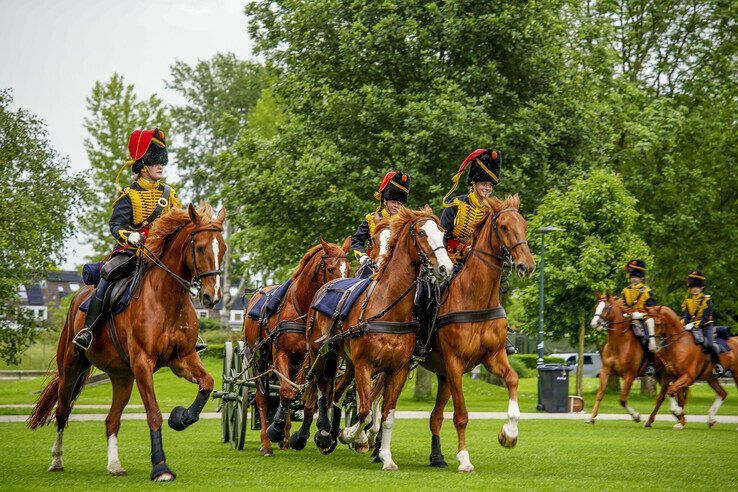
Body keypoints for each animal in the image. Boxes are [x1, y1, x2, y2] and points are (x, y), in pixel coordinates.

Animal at [28, 203, 227, 480]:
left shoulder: (182, 359)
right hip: (71, 369)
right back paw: (57, 460)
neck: (167, 299)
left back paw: (114, 465)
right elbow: (154, 413)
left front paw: (181, 417)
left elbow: (207, 384)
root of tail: (79, 296)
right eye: (199, 247)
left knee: (111, 419)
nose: (212, 296)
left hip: (122, 377)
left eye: (224, 248)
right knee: (63, 410)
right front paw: (161, 467)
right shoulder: (143, 363)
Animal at [242, 236, 350, 456]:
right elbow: (285, 391)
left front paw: (302, 435)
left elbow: (310, 399)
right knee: (262, 398)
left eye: (349, 268)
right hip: (259, 361)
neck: (302, 307)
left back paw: (284, 438)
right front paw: (275, 428)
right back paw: (266, 442)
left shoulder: (315, 359)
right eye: (331, 269)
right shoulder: (281, 354)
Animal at [296, 206, 452, 470]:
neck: (388, 306)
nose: (446, 268)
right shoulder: (364, 365)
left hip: (345, 361)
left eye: (442, 233)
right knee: (320, 386)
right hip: (321, 353)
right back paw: (323, 432)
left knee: (335, 392)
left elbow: (387, 415)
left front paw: (386, 457)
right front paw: (352, 436)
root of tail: (328, 284)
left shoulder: (397, 369)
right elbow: (364, 411)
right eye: (421, 233)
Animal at [420, 195, 536, 472]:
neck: (475, 297)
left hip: (443, 376)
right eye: (503, 227)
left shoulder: (493, 357)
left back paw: (437, 456)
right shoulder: (455, 364)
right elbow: (461, 415)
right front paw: (464, 458)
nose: (527, 266)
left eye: (524, 225)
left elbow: (513, 380)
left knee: (435, 417)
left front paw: (509, 434)